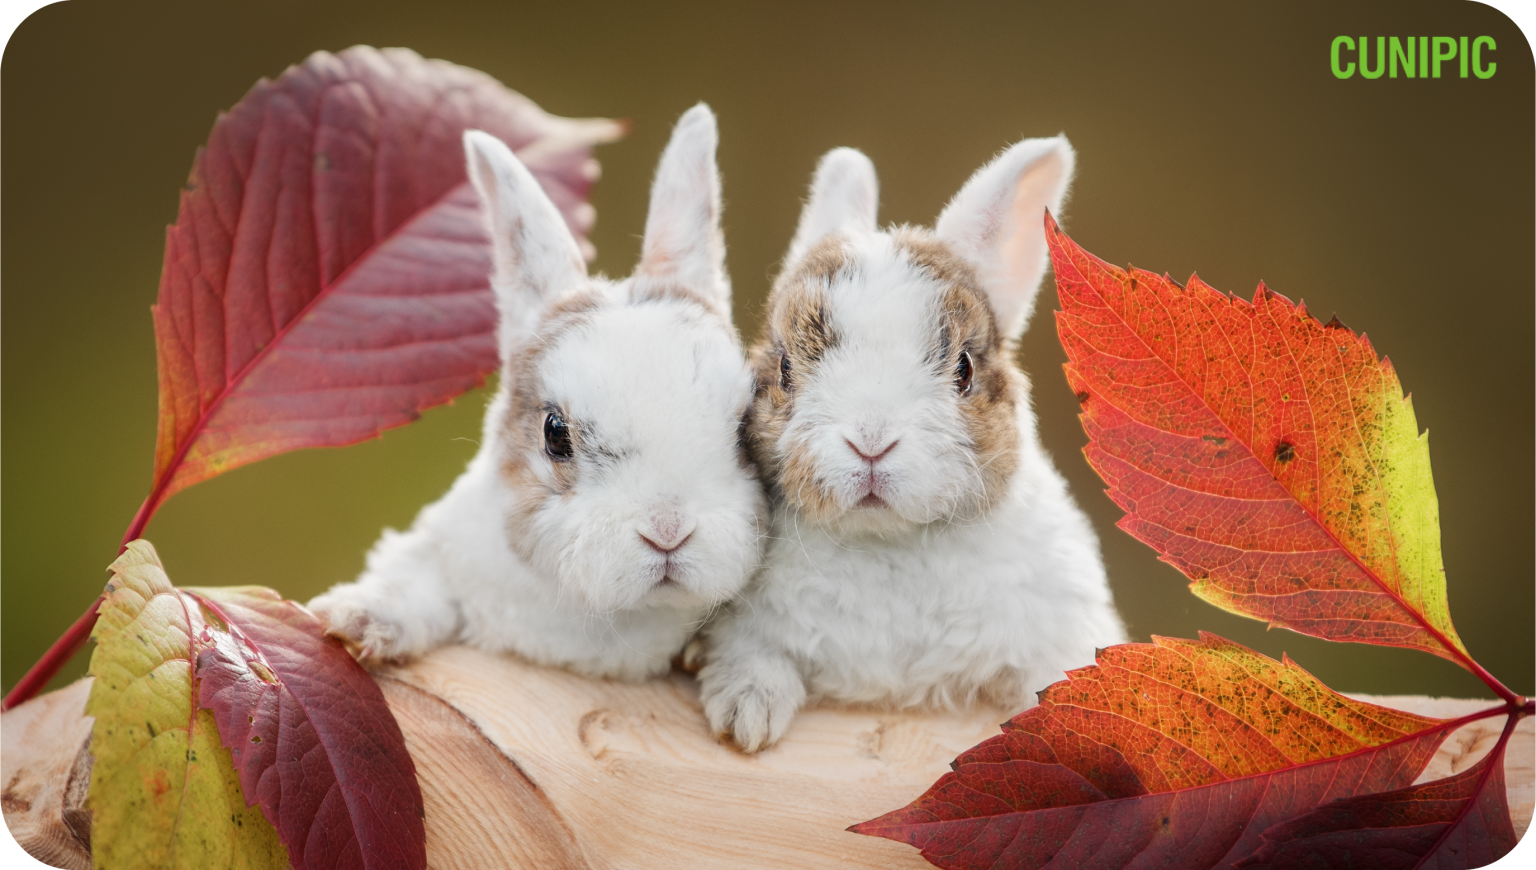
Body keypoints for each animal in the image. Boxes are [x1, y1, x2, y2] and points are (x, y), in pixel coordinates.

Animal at [697, 137, 1126, 751]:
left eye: (964, 369)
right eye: (784, 369)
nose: (871, 442)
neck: (889, 541)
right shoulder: (743, 630)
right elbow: (755, 660)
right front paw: (746, 717)